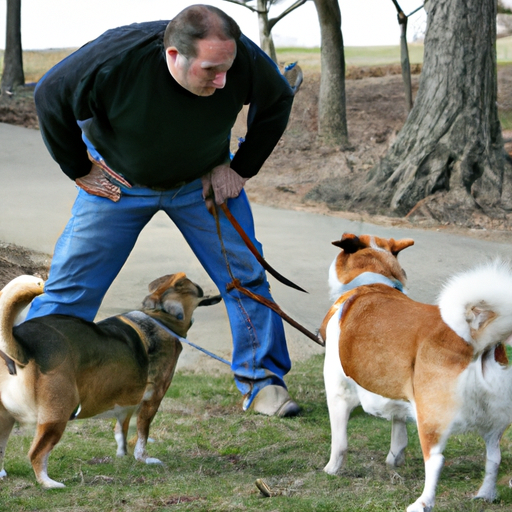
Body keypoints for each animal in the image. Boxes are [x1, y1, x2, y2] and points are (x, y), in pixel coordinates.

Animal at [0, 272, 219, 488]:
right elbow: (142, 435)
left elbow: (121, 429)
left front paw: (122, 454)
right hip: (57, 414)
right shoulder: (152, 400)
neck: (160, 317)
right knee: (36, 453)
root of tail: (21, 346)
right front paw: (144, 459)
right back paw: (49, 483)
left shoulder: (126, 403)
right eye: (197, 288)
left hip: (6, 419)